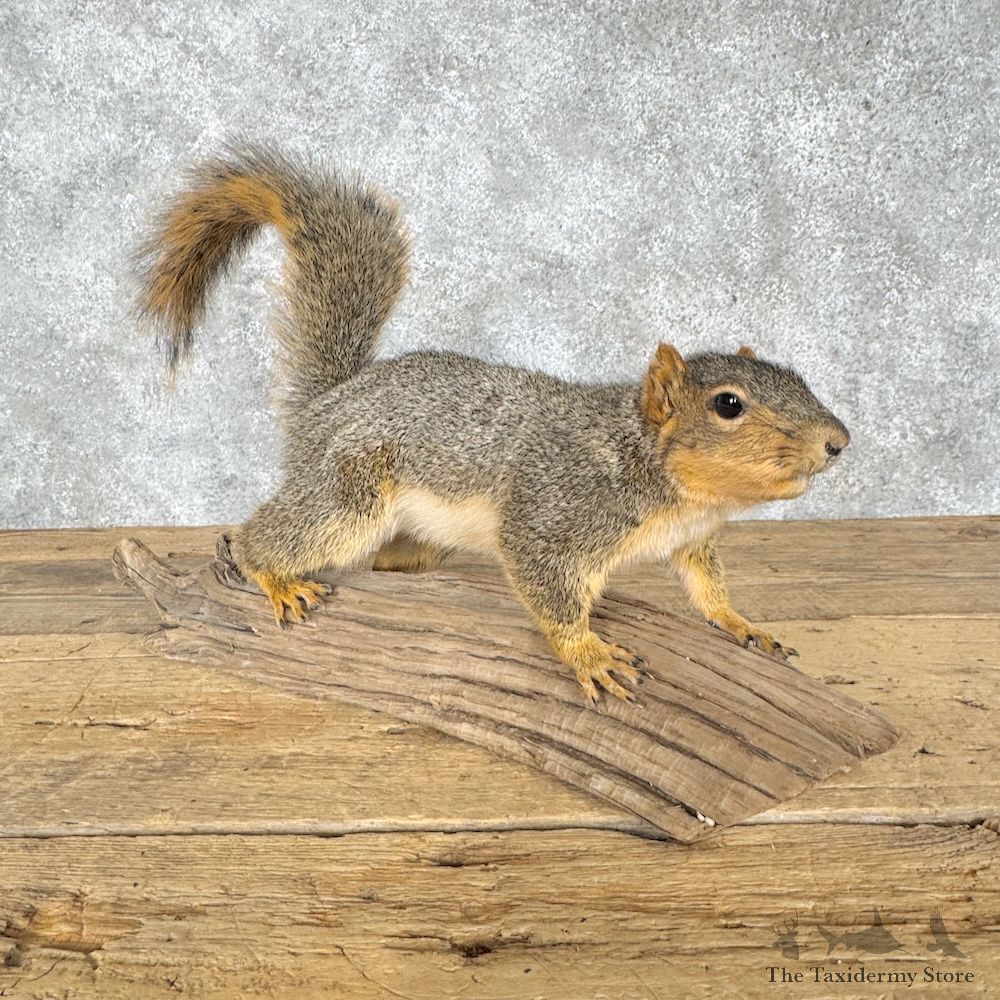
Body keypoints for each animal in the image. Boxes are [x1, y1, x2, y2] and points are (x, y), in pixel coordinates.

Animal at [136, 142, 850, 704]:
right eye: (728, 404)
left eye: (800, 378)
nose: (838, 442)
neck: (670, 482)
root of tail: (332, 400)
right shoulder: (555, 513)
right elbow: (547, 586)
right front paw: (589, 653)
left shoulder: (692, 539)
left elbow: (707, 587)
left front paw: (740, 622)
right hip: (347, 493)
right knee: (272, 533)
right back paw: (275, 578)